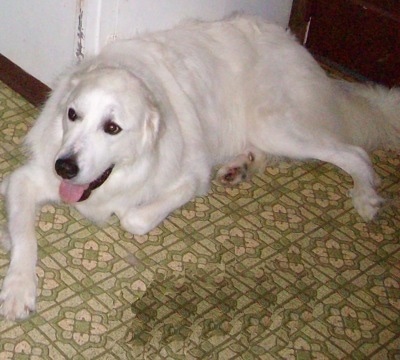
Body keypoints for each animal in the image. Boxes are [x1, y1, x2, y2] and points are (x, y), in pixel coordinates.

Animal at [0, 14, 400, 320]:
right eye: (72, 114)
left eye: (112, 128)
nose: (65, 168)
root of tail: (294, 44)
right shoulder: (28, 177)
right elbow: (25, 237)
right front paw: (19, 287)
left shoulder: (190, 177)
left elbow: (134, 218)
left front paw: (126, 208)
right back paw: (241, 167)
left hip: (275, 127)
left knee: (354, 153)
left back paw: (366, 198)